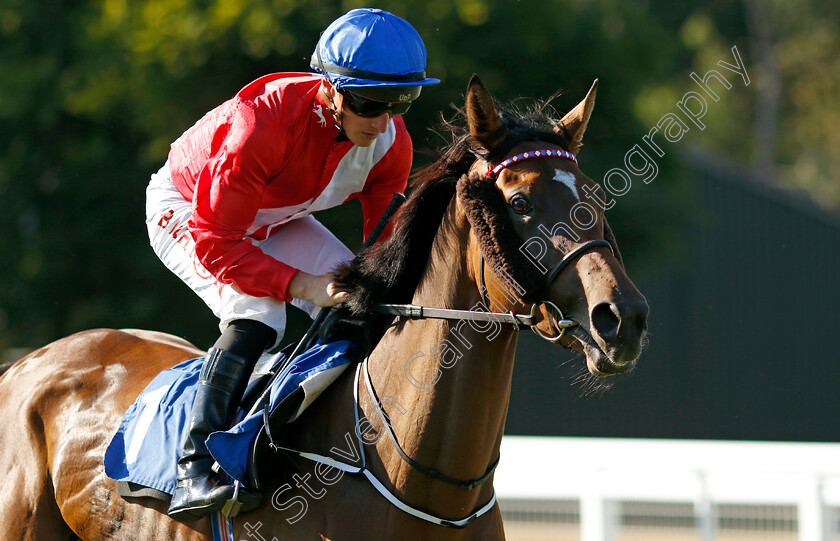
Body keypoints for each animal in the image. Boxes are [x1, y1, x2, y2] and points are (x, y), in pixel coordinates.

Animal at [0, 76, 648, 540]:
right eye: (519, 202)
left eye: (595, 196)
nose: (623, 319)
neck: (424, 483)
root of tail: (27, 364)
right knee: (250, 317)